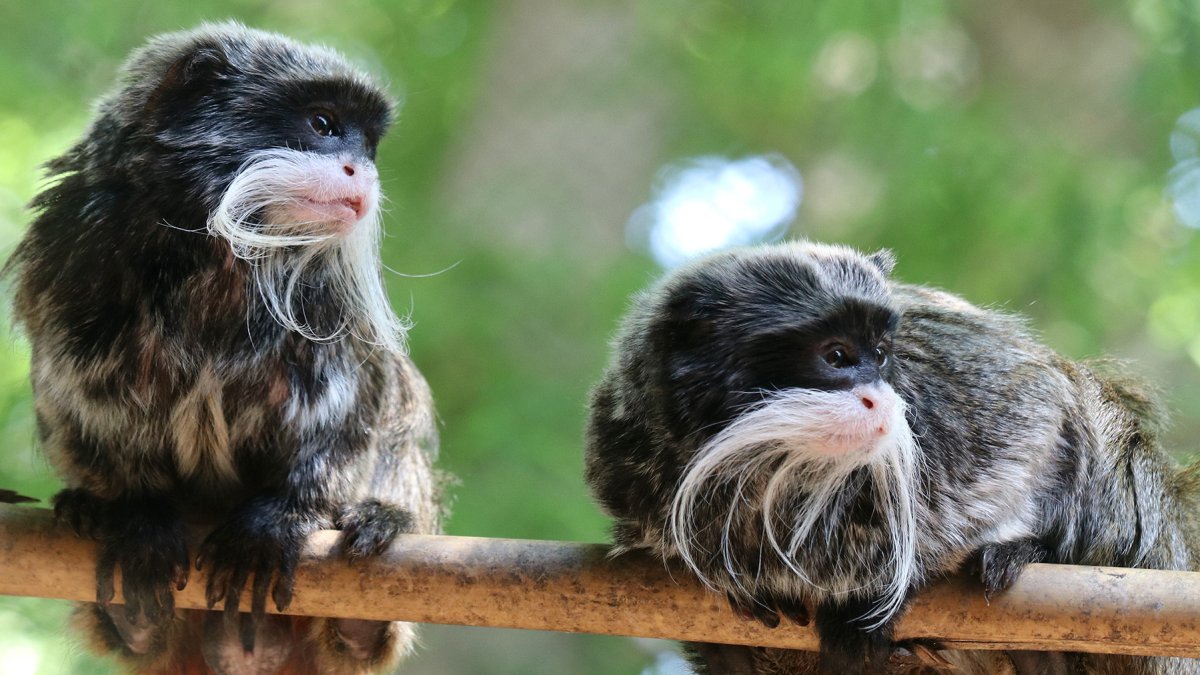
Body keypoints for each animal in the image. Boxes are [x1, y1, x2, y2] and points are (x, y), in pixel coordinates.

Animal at [3, 23, 442, 675]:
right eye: (323, 124)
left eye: (368, 146)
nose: (360, 172)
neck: (213, 248)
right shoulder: (70, 247)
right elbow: (77, 394)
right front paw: (136, 512)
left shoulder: (334, 297)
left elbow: (358, 406)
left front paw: (281, 515)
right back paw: (122, 598)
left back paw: (368, 580)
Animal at [584, 241, 1200, 675]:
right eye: (837, 356)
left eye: (881, 355)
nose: (880, 397)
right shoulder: (627, 458)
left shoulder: (949, 386)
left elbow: (1035, 406)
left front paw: (887, 593)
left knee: (1090, 408)